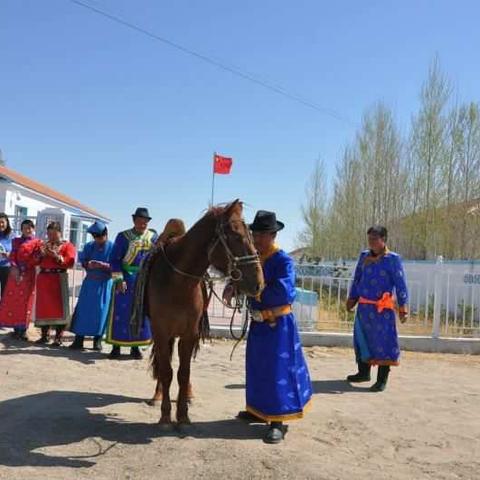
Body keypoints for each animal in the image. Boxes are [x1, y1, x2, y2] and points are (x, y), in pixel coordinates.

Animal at [144, 201, 262, 426]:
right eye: (235, 236)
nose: (258, 283)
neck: (177, 282)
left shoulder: (190, 334)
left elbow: (183, 372)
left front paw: (182, 415)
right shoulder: (161, 332)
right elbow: (166, 371)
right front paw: (165, 416)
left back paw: (188, 394)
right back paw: (157, 394)